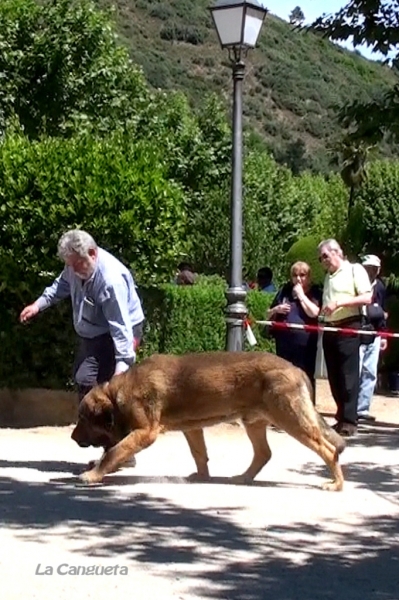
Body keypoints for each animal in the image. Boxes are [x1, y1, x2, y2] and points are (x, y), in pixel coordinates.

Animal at [72, 350, 346, 490]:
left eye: (83, 418)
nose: (73, 437)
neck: (117, 392)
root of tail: (296, 369)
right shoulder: (192, 430)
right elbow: (199, 454)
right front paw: (203, 476)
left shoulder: (145, 432)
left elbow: (114, 452)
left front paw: (93, 475)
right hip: (255, 422)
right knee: (263, 453)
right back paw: (243, 478)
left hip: (291, 419)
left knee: (328, 449)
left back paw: (336, 484)